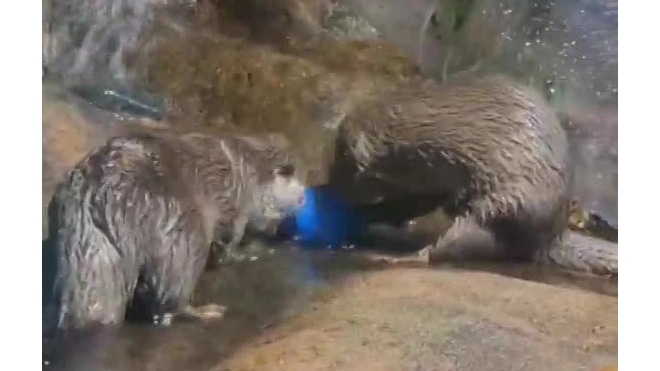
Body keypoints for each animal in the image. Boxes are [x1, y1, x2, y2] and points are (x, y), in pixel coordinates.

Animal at [45, 132, 304, 330]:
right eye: (300, 196)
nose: (302, 202)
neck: (243, 170)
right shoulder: (237, 209)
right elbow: (228, 249)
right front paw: (262, 247)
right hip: (183, 232)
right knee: (172, 289)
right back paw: (206, 311)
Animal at [330, 74, 620, 276]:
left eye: (342, 157)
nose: (332, 188)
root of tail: (553, 235)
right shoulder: (430, 184)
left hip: (505, 206)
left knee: (451, 242)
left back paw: (395, 257)